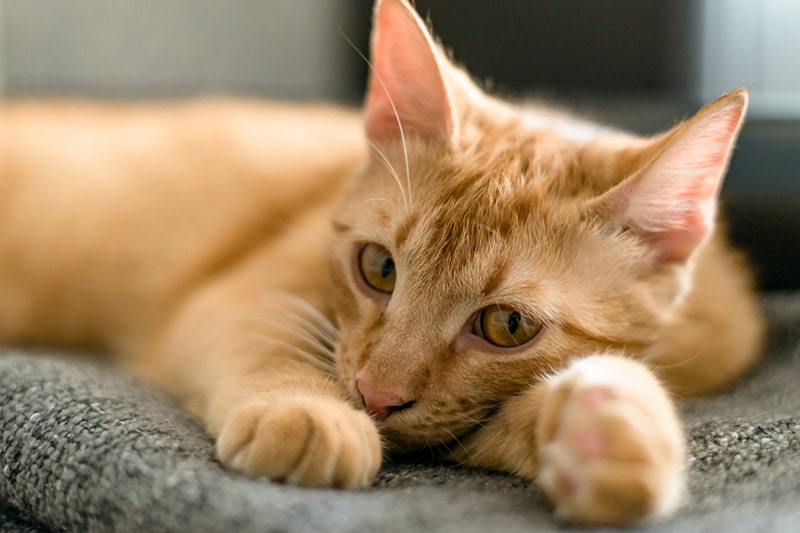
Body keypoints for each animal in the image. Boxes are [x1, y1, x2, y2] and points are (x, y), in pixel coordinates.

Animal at [0, 0, 764, 524]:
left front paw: (609, 432)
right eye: (380, 268)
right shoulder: (238, 297)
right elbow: (267, 345)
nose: (373, 394)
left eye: (509, 326)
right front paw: (308, 411)